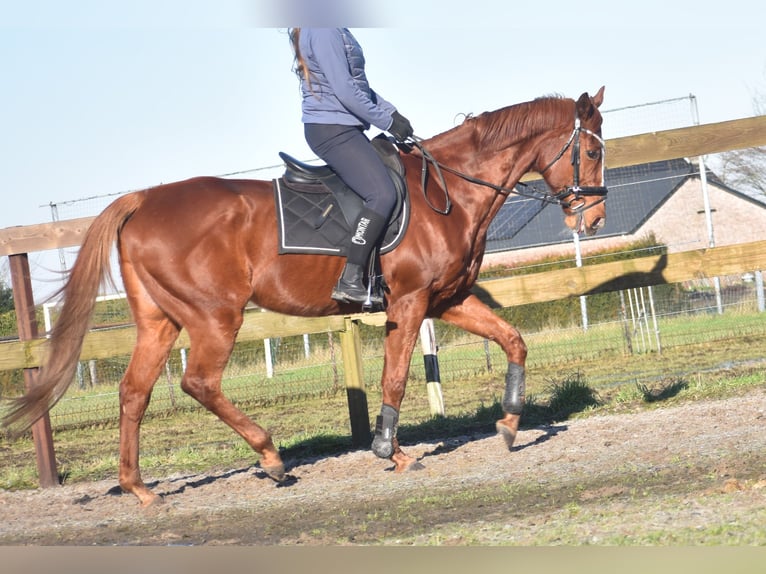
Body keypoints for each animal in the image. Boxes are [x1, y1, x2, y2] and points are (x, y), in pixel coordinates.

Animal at [3, 86, 608, 508]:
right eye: (591, 150)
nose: (595, 218)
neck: (450, 192)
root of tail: (143, 200)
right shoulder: (410, 303)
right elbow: (395, 376)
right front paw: (393, 452)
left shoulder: (446, 300)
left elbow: (513, 339)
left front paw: (509, 425)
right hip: (214, 316)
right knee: (198, 382)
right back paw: (271, 458)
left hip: (160, 321)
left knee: (134, 392)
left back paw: (139, 488)